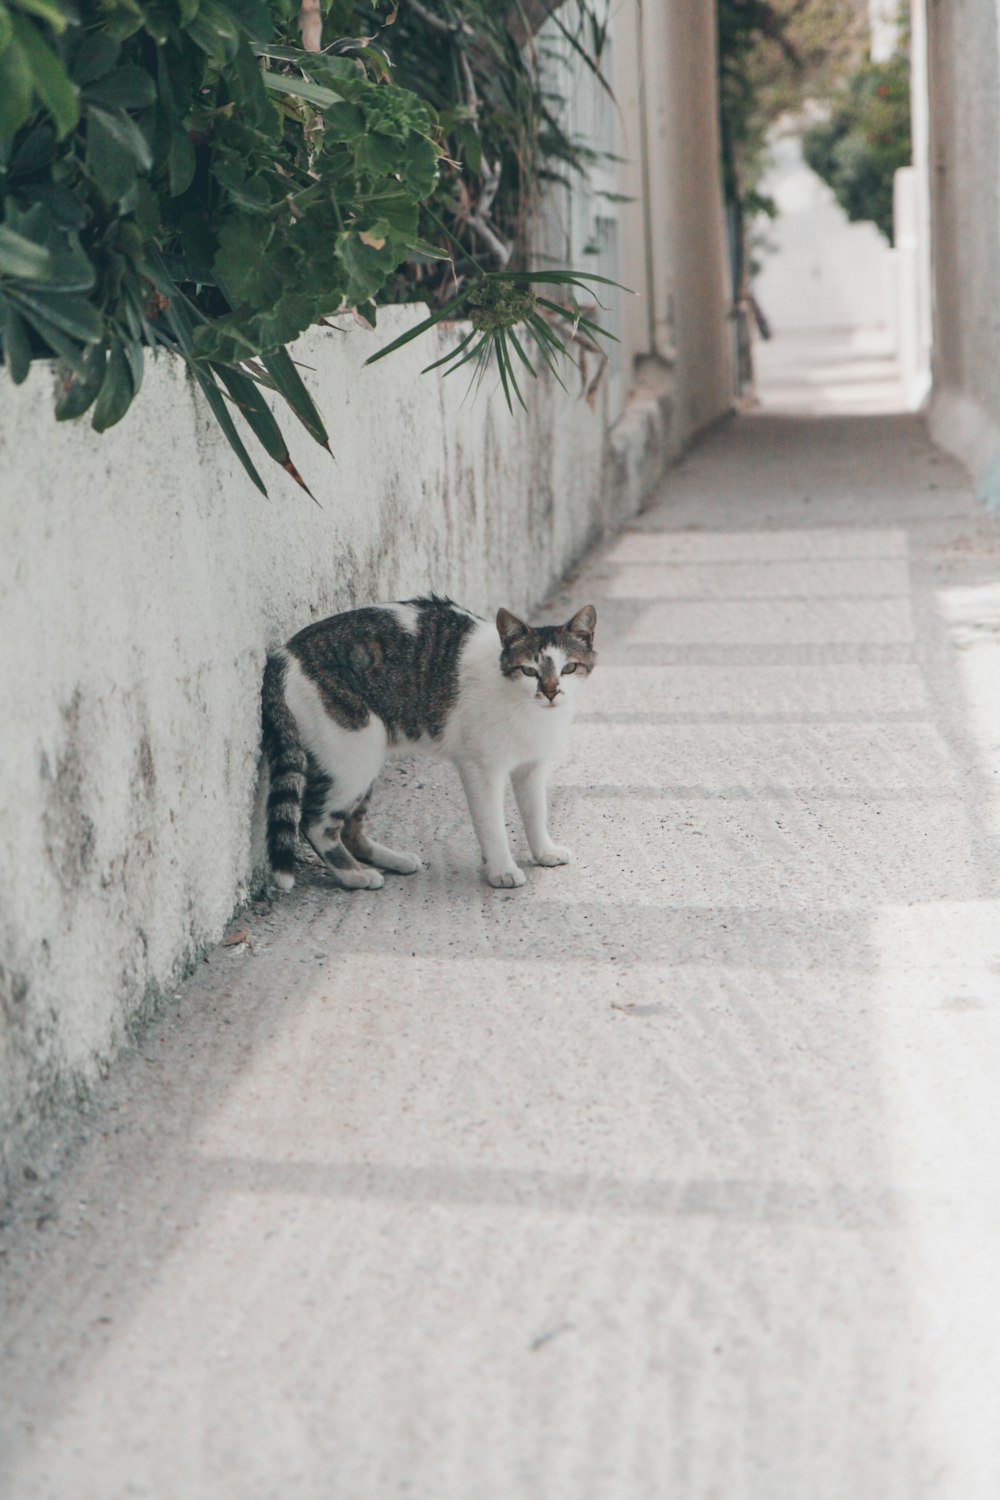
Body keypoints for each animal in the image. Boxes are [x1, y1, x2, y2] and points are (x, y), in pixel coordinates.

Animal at [262, 597, 599, 888]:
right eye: (529, 670)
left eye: (569, 668)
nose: (551, 692)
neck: (527, 709)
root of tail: (283, 655)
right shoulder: (481, 770)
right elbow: (491, 825)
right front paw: (502, 870)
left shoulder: (532, 766)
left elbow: (535, 812)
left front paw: (544, 851)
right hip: (354, 755)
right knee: (315, 823)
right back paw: (354, 876)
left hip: (366, 758)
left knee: (350, 829)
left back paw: (392, 861)